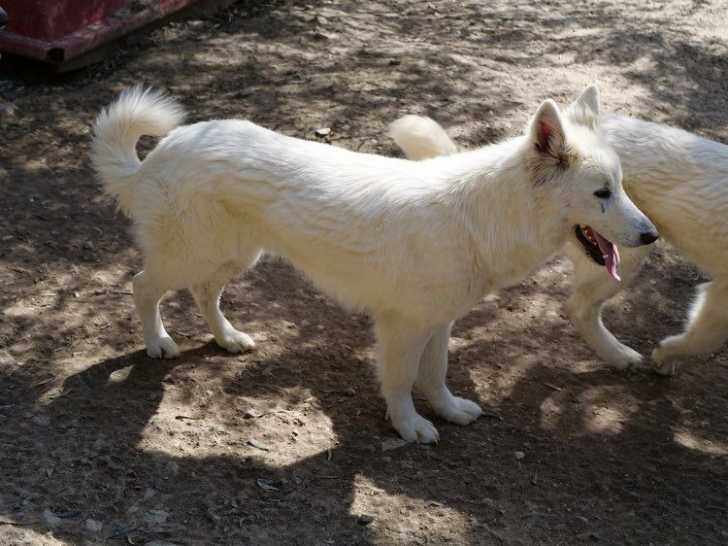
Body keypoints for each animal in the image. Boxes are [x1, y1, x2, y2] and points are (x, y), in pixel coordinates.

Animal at [92, 85, 657, 442]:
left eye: (621, 186)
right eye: (602, 193)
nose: (651, 235)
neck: (482, 213)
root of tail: (162, 151)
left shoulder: (438, 323)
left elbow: (436, 375)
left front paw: (448, 411)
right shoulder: (401, 327)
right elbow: (403, 382)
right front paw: (408, 427)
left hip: (234, 255)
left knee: (204, 293)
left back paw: (227, 338)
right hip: (189, 254)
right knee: (142, 286)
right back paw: (157, 342)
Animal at [390, 93, 725, 377]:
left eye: (620, 186)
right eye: (602, 192)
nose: (652, 234)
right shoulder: (721, 292)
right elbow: (703, 338)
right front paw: (666, 355)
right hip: (627, 261)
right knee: (577, 308)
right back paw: (619, 355)